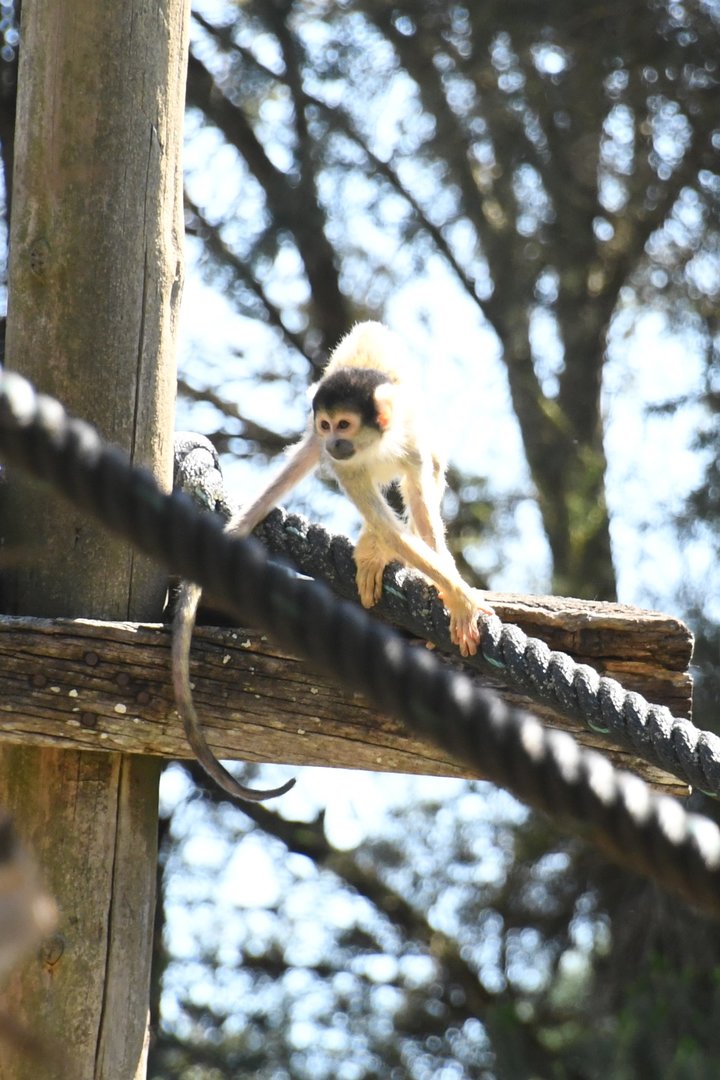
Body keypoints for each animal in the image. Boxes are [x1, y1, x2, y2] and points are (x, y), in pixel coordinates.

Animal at [172, 320, 494, 802]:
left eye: (344, 423)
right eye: (327, 424)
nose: (333, 440)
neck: (374, 445)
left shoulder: (408, 440)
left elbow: (422, 498)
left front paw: (449, 590)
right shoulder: (344, 464)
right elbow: (387, 521)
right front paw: (457, 593)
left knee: (430, 472)